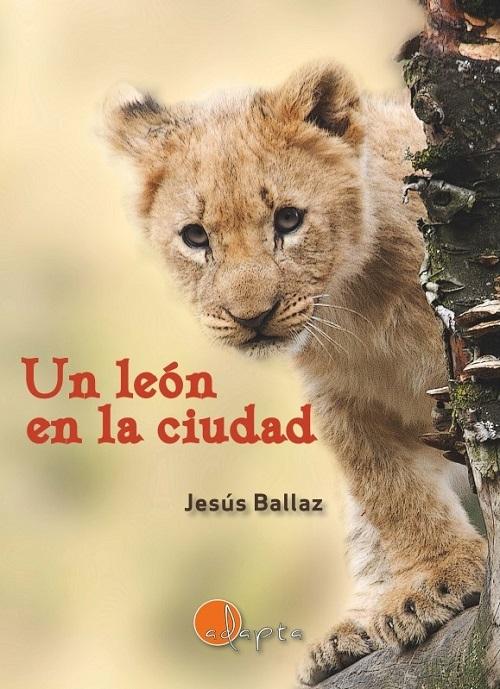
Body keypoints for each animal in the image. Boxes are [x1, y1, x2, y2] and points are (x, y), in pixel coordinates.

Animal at [103, 62, 485, 685]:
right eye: (195, 236)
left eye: (288, 219)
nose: (251, 318)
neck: (359, 299)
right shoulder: (344, 401)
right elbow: (391, 494)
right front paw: (432, 579)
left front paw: (440, 582)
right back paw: (350, 632)